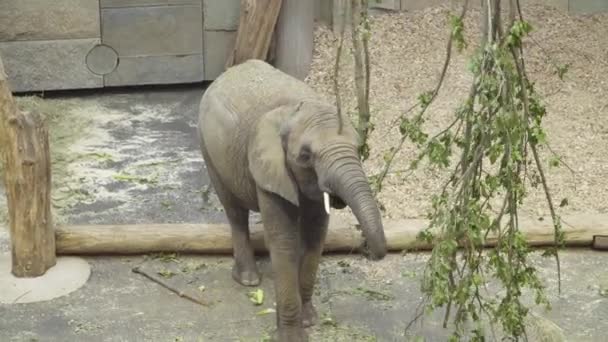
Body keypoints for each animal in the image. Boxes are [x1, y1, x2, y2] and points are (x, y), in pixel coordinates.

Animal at [198, 60, 390, 340]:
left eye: (358, 149)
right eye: (305, 156)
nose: (365, 245)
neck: (295, 109)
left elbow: (315, 236)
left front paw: (309, 320)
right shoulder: (268, 168)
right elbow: (284, 240)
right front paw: (292, 335)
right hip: (207, 149)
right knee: (235, 212)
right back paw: (248, 280)